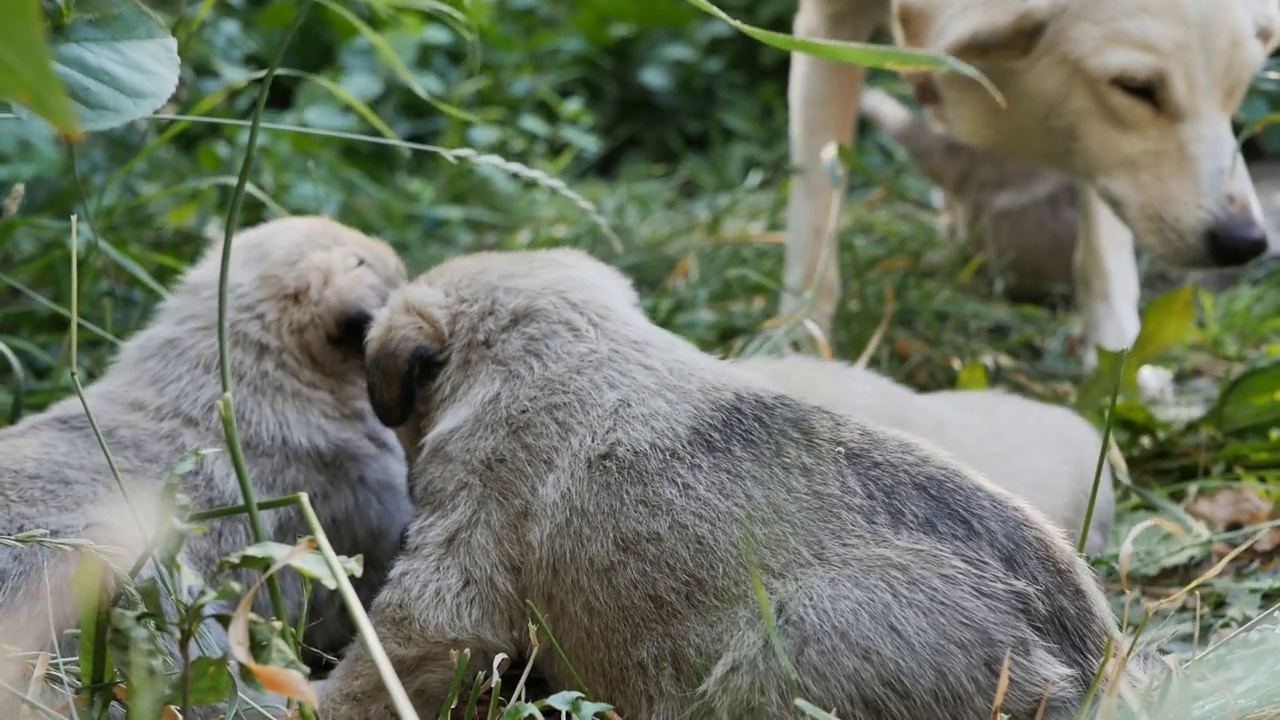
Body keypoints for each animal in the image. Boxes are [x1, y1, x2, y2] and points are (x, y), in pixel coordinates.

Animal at [778, 0, 1280, 381]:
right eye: (1135, 88)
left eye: (1235, 90)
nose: (1245, 243)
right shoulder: (828, 24)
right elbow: (814, 224)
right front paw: (800, 343)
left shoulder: (1092, 147)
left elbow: (1105, 258)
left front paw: (1118, 362)